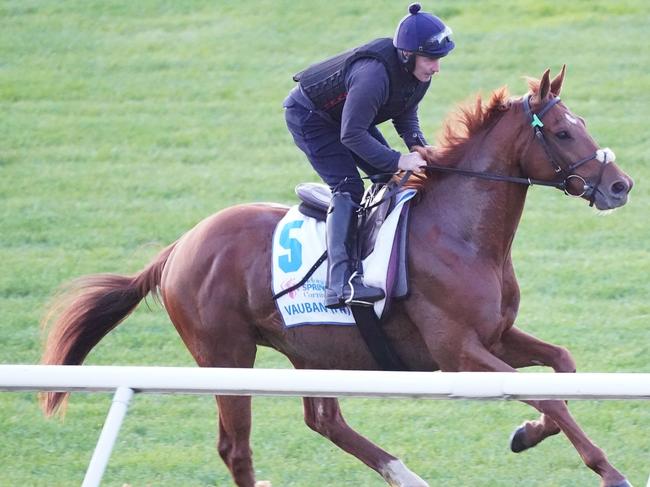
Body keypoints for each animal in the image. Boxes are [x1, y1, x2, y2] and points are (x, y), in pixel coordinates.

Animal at [40, 67, 632, 487]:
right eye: (563, 132)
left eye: (581, 126)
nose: (620, 185)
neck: (461, 232)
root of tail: (178, 248)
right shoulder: (457, 353)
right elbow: (547, 396)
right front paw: (609, 470)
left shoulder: (497, 335)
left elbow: (562, 367)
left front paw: (525, 436)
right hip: (227, 353)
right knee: (236, 447)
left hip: (311, 350)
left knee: (322, 420)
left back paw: (405, 475)